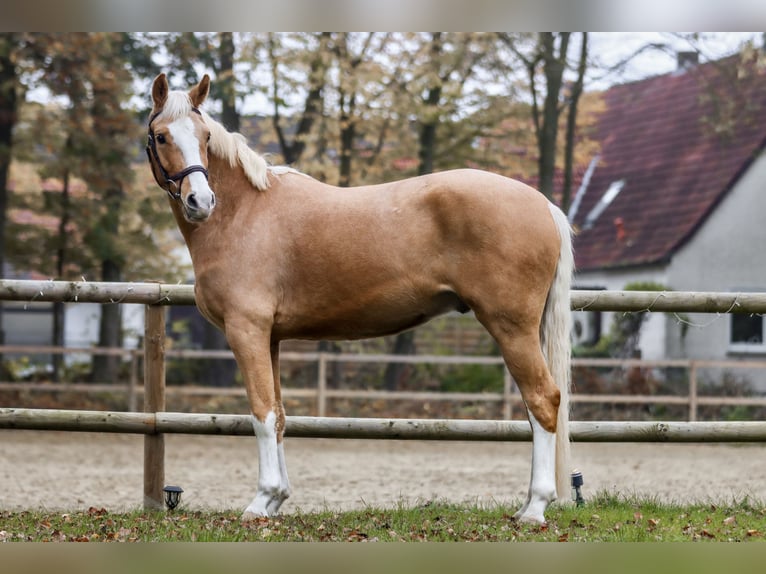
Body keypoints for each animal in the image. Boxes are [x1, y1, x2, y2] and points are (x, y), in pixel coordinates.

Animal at [147, 73, 572, 528]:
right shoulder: (270, 338)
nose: (200, 202)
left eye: (205, 136)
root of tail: (544, 204)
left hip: (512, 327)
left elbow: (261, 413)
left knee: (543, 400)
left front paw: (260, 501)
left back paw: (535, 508)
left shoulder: (247, 331)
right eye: (162, 136)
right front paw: (278, 499)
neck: (244, 214)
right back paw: (526, 505)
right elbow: (278, 415)